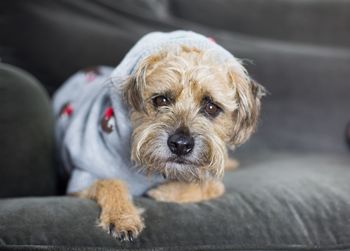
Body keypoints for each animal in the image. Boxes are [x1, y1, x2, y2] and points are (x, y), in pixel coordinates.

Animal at [52, 30, 266, 242]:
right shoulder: (81, 179)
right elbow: (109, 182)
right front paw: (121, 217)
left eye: (211, 107)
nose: (181, 145)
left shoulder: (210, 179)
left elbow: (211, 186)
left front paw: (166, 191)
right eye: (161, 100)